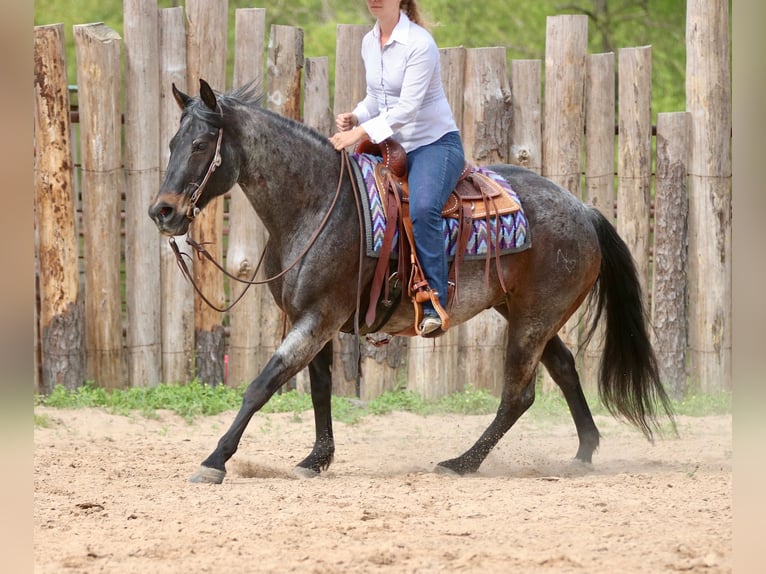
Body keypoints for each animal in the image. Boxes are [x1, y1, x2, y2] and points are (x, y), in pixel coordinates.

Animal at [148, 79, 674, 484]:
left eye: (200, 145)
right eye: (171, 143)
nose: (163, 212)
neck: (316, 204)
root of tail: (583, 209)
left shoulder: (319, 317)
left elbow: (264, 383)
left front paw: (214, 461)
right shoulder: (311, 319)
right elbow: (319, 387)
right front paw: (315, 460)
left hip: (533, 319)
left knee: (518, 395)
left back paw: (462, 462)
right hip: (526, 312)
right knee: (563, 368)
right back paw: (583, 453)